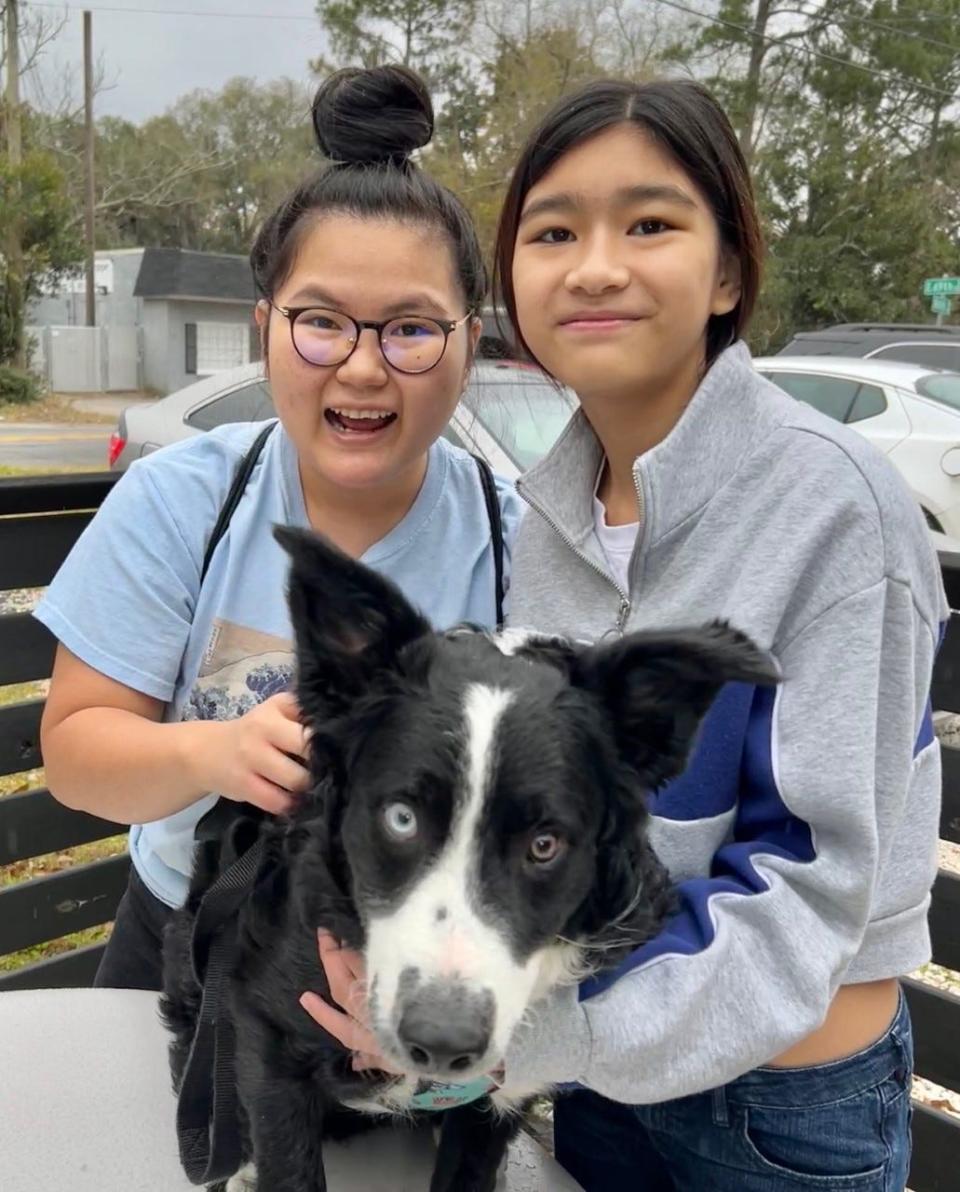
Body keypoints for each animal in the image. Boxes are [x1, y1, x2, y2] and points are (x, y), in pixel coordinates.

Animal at [163, 529, 777, 1192]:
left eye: (545, 844)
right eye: (401, 818)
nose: (441, 1042)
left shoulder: (500, 1098)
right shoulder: (269, 1031)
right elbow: (288, 1163)